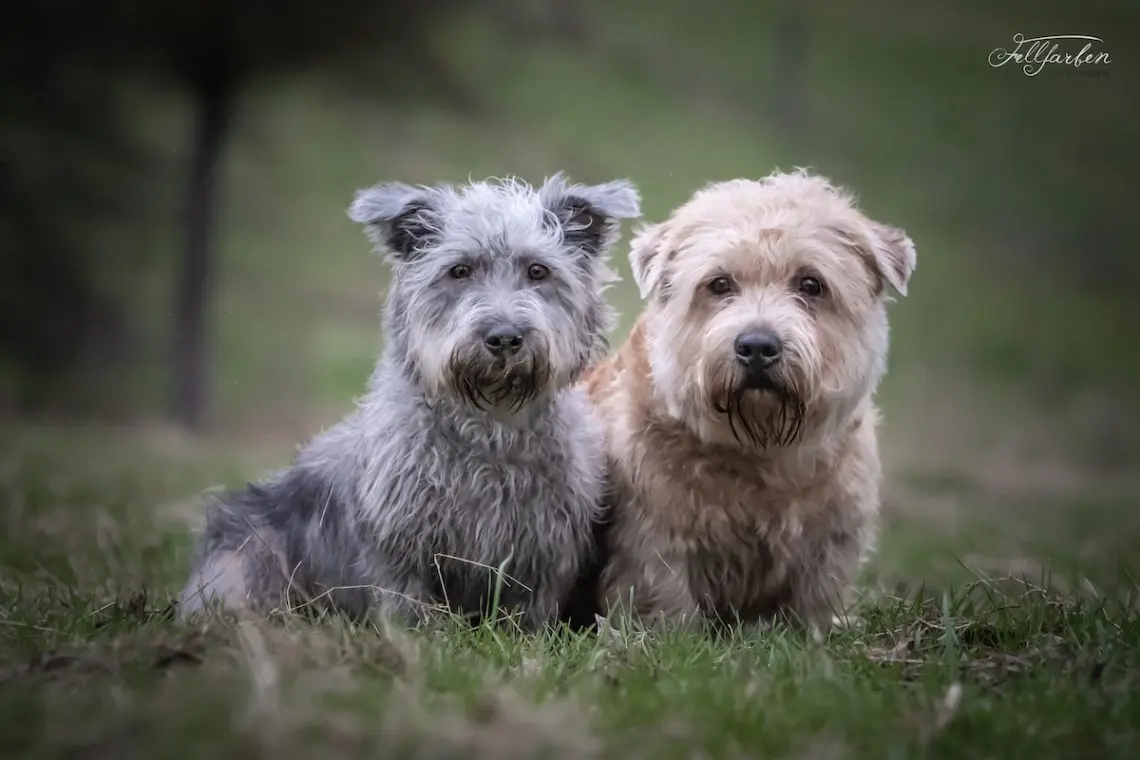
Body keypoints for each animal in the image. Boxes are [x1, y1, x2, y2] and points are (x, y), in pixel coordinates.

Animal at [177, 172, 642, 628]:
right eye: (459, 270)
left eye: (538, 270)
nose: (504, 337)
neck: (490, 425)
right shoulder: (399, 546)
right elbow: (409, 607)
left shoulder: (544, 550)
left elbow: (528, 613)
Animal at [588, 170, 916, 628]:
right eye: (719, 284)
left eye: (811, 284)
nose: (758, 346)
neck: (761, 448)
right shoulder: (652, 536)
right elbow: (666, 597)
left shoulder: (833, 537)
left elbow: (817, 600)